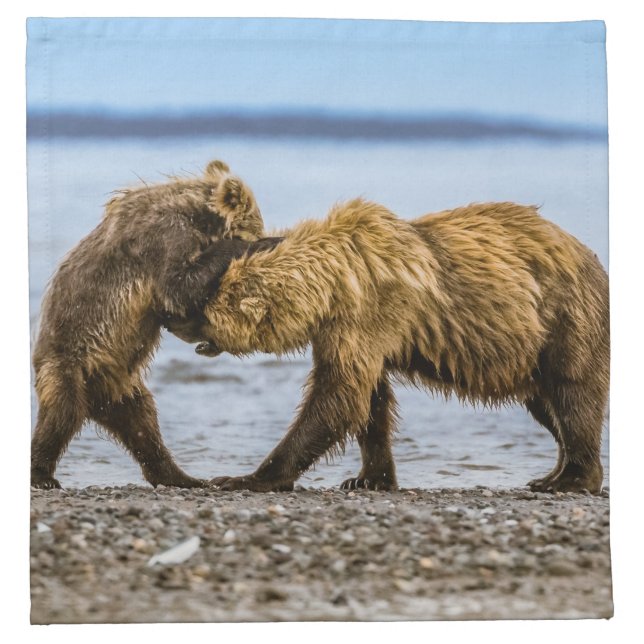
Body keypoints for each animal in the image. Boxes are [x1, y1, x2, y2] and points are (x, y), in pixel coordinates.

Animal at [31, 159, 281, 489]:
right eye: (257, 225)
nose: (264, 233)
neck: (197, 217)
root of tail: (95, 401)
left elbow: (178, 303)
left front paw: (208, 340)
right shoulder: (164, 238)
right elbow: (178, 287)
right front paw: (263, 243)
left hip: (120, 383)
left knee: (143, 424)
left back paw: (182, 477)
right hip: (68, 361)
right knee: (62, 413)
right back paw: (42, 474)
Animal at [165, 199, 610, 494]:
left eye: (201, 304)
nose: (168, 319)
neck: (332, 282)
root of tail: (592, 258)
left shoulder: (371, 311)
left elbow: (338, 395)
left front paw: (244, 477)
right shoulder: (348, 329)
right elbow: (370, 400)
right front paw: (367, 478)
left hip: (563, 319)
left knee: (572, 394)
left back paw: (571, 479)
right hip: (531, 352)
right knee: (546, 405)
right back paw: (551, 473)